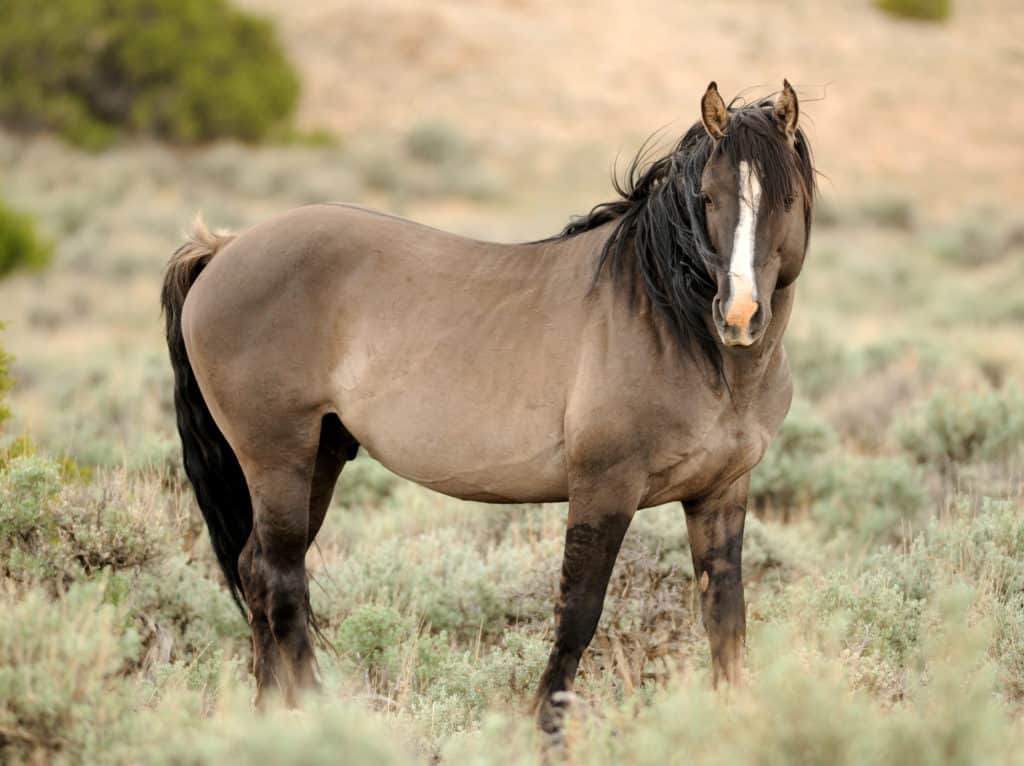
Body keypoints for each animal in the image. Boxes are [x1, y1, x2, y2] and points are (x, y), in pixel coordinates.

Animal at [161, 80, 815, 732]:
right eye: (707, 197)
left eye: (786, 198)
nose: (739, 317)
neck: (672, 325)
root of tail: (223, 249)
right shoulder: (605, 487)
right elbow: (578, 612)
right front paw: (545, 726)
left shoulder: (720, 492)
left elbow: (725, 616)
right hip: (278, 459)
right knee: (282, 580)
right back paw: (314, 715)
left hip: (319, 456)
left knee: (257, 569)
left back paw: (267, 713)